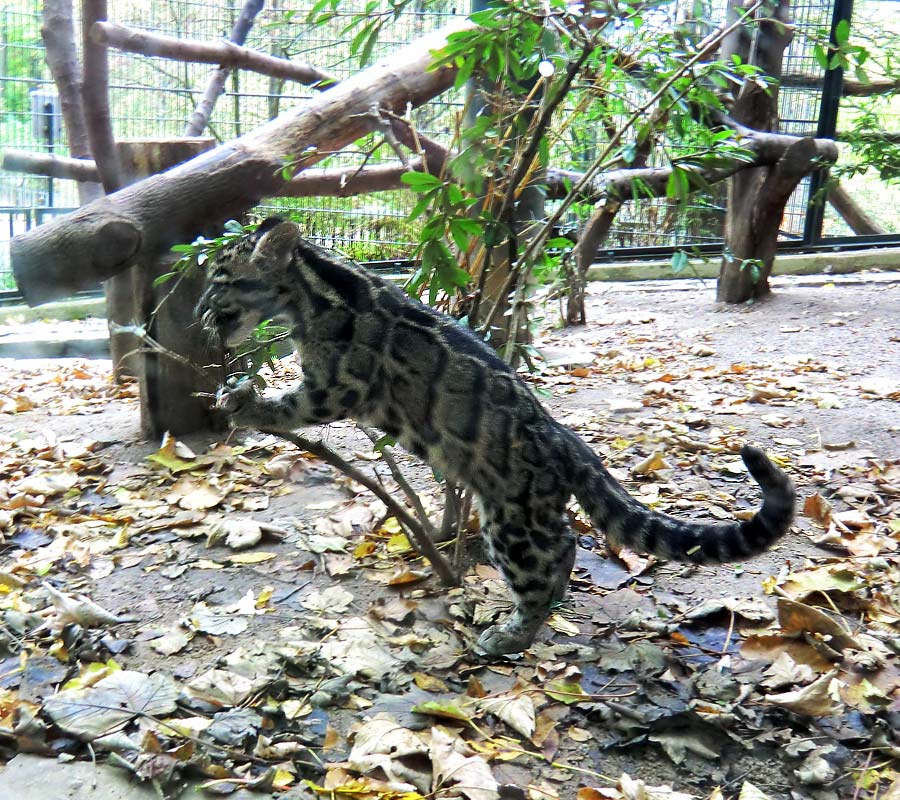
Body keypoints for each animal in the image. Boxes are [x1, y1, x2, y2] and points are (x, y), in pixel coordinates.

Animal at [197, 219, 796, 656]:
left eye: (221, 279)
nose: (200, 315)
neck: (316, 291)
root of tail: (565, 438)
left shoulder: (339, 385)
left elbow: (293, 404)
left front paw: (247, 404)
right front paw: (234, 389)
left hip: (512, 518)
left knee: (553, 556)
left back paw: (512, 634)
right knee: (564, 550)